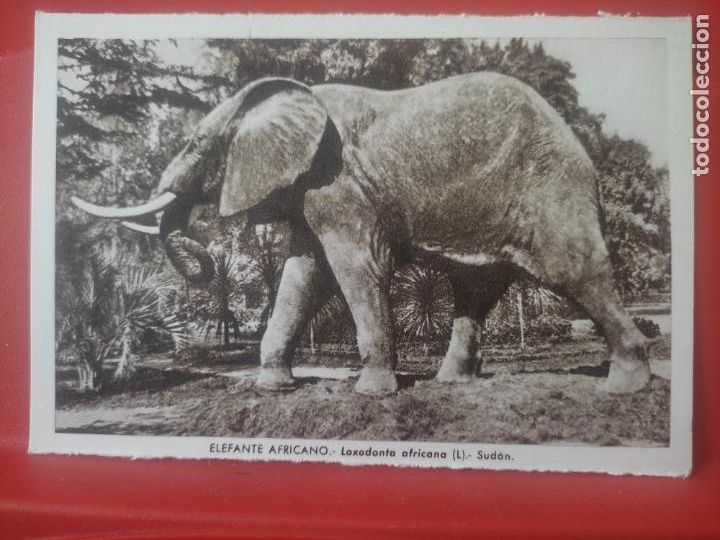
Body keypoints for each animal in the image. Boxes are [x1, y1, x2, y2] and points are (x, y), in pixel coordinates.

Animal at [72, 72, 652, 396]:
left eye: (195, 143)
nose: (205, 260)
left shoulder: (339, 182)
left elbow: (355, 266)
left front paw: (372, 394)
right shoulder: (311, 186)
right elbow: (305, 275)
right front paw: (274, 388)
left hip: (549, 189)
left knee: (574, 270)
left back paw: (626, 387)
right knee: (476, 289)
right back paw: (452, 383)